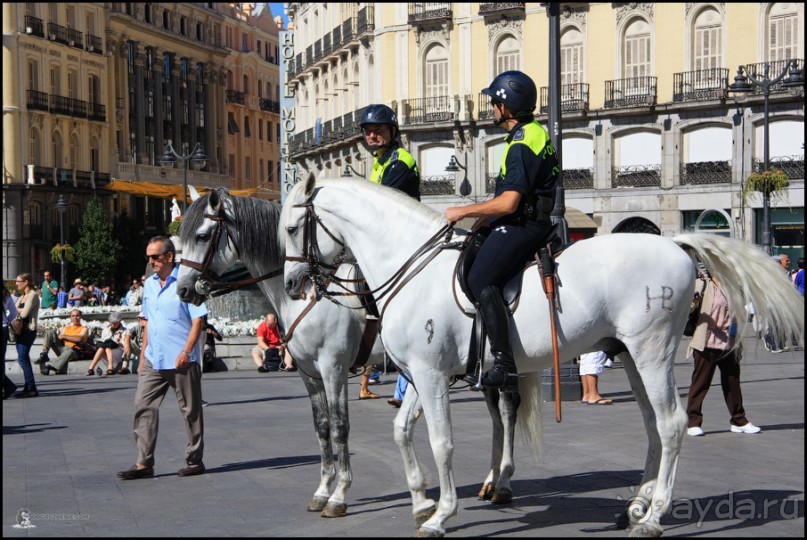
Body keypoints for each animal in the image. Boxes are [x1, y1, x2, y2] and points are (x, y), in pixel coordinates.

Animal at [178, 189, 392, 520]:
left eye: (201, 236)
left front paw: (339, 495)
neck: (309, 293)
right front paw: (322, 490)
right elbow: (322, 427)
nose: (183, 289)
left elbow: (340, 427)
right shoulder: (308, 372)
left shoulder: (333, 369)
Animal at [280, 176, 804, 536]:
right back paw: (636, 503)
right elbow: (401, 431)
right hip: (632, 357)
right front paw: (421, 502)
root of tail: (674, 242)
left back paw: (653, 516)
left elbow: (441, 442)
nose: (292, 284)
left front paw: (440, 514)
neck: (413, 267)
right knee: (654, 426)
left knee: (672, 424)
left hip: (652, 353)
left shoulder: (428, 375)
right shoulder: (423, 374)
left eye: (291, 227)